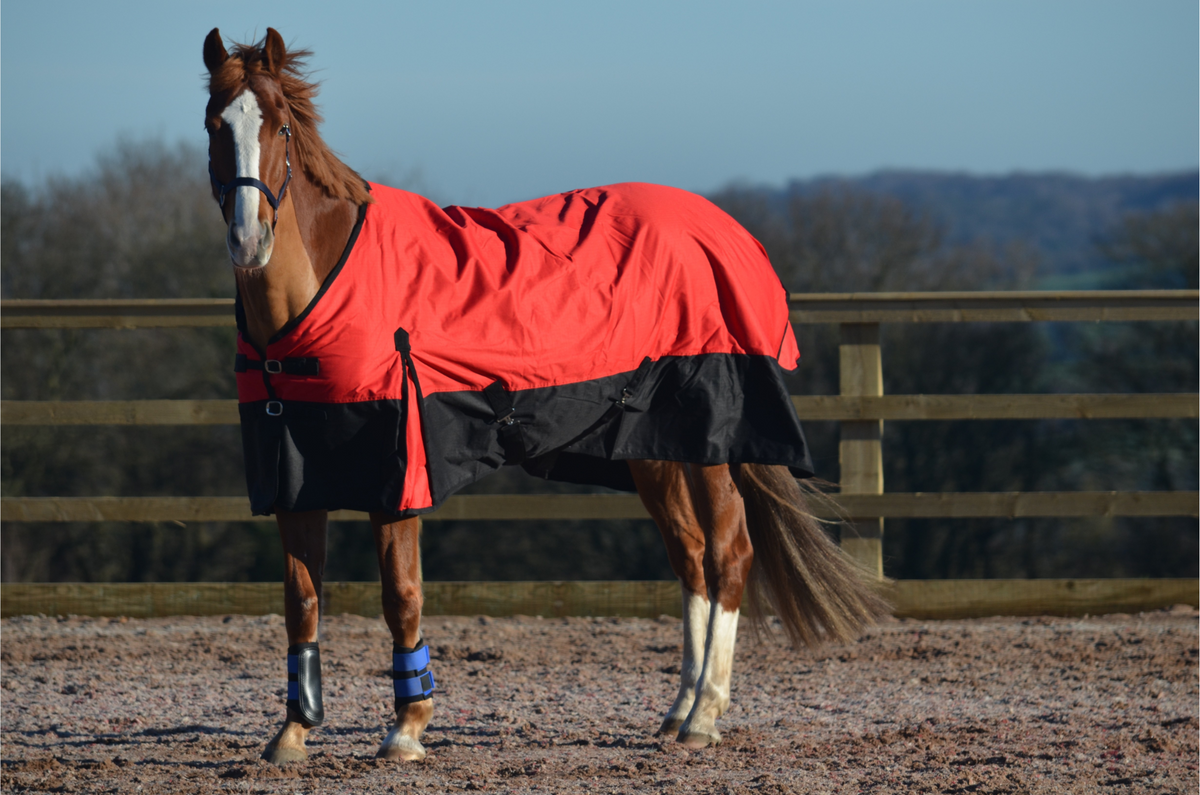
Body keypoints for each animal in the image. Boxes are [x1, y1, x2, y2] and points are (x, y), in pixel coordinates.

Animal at [202, 28, 887, 764]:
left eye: (280, 125)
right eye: (215, 123)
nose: (249, 239)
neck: (316, 301)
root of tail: (726, 231)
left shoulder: (399, 473)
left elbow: (401, 594)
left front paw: (407, 728)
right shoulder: (293, 477)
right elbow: (300, 599)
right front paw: (293, 730)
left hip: (710, 440)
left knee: (728, 552)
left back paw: (705, 714)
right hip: (655, 450)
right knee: (691, 558)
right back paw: (677, 711)